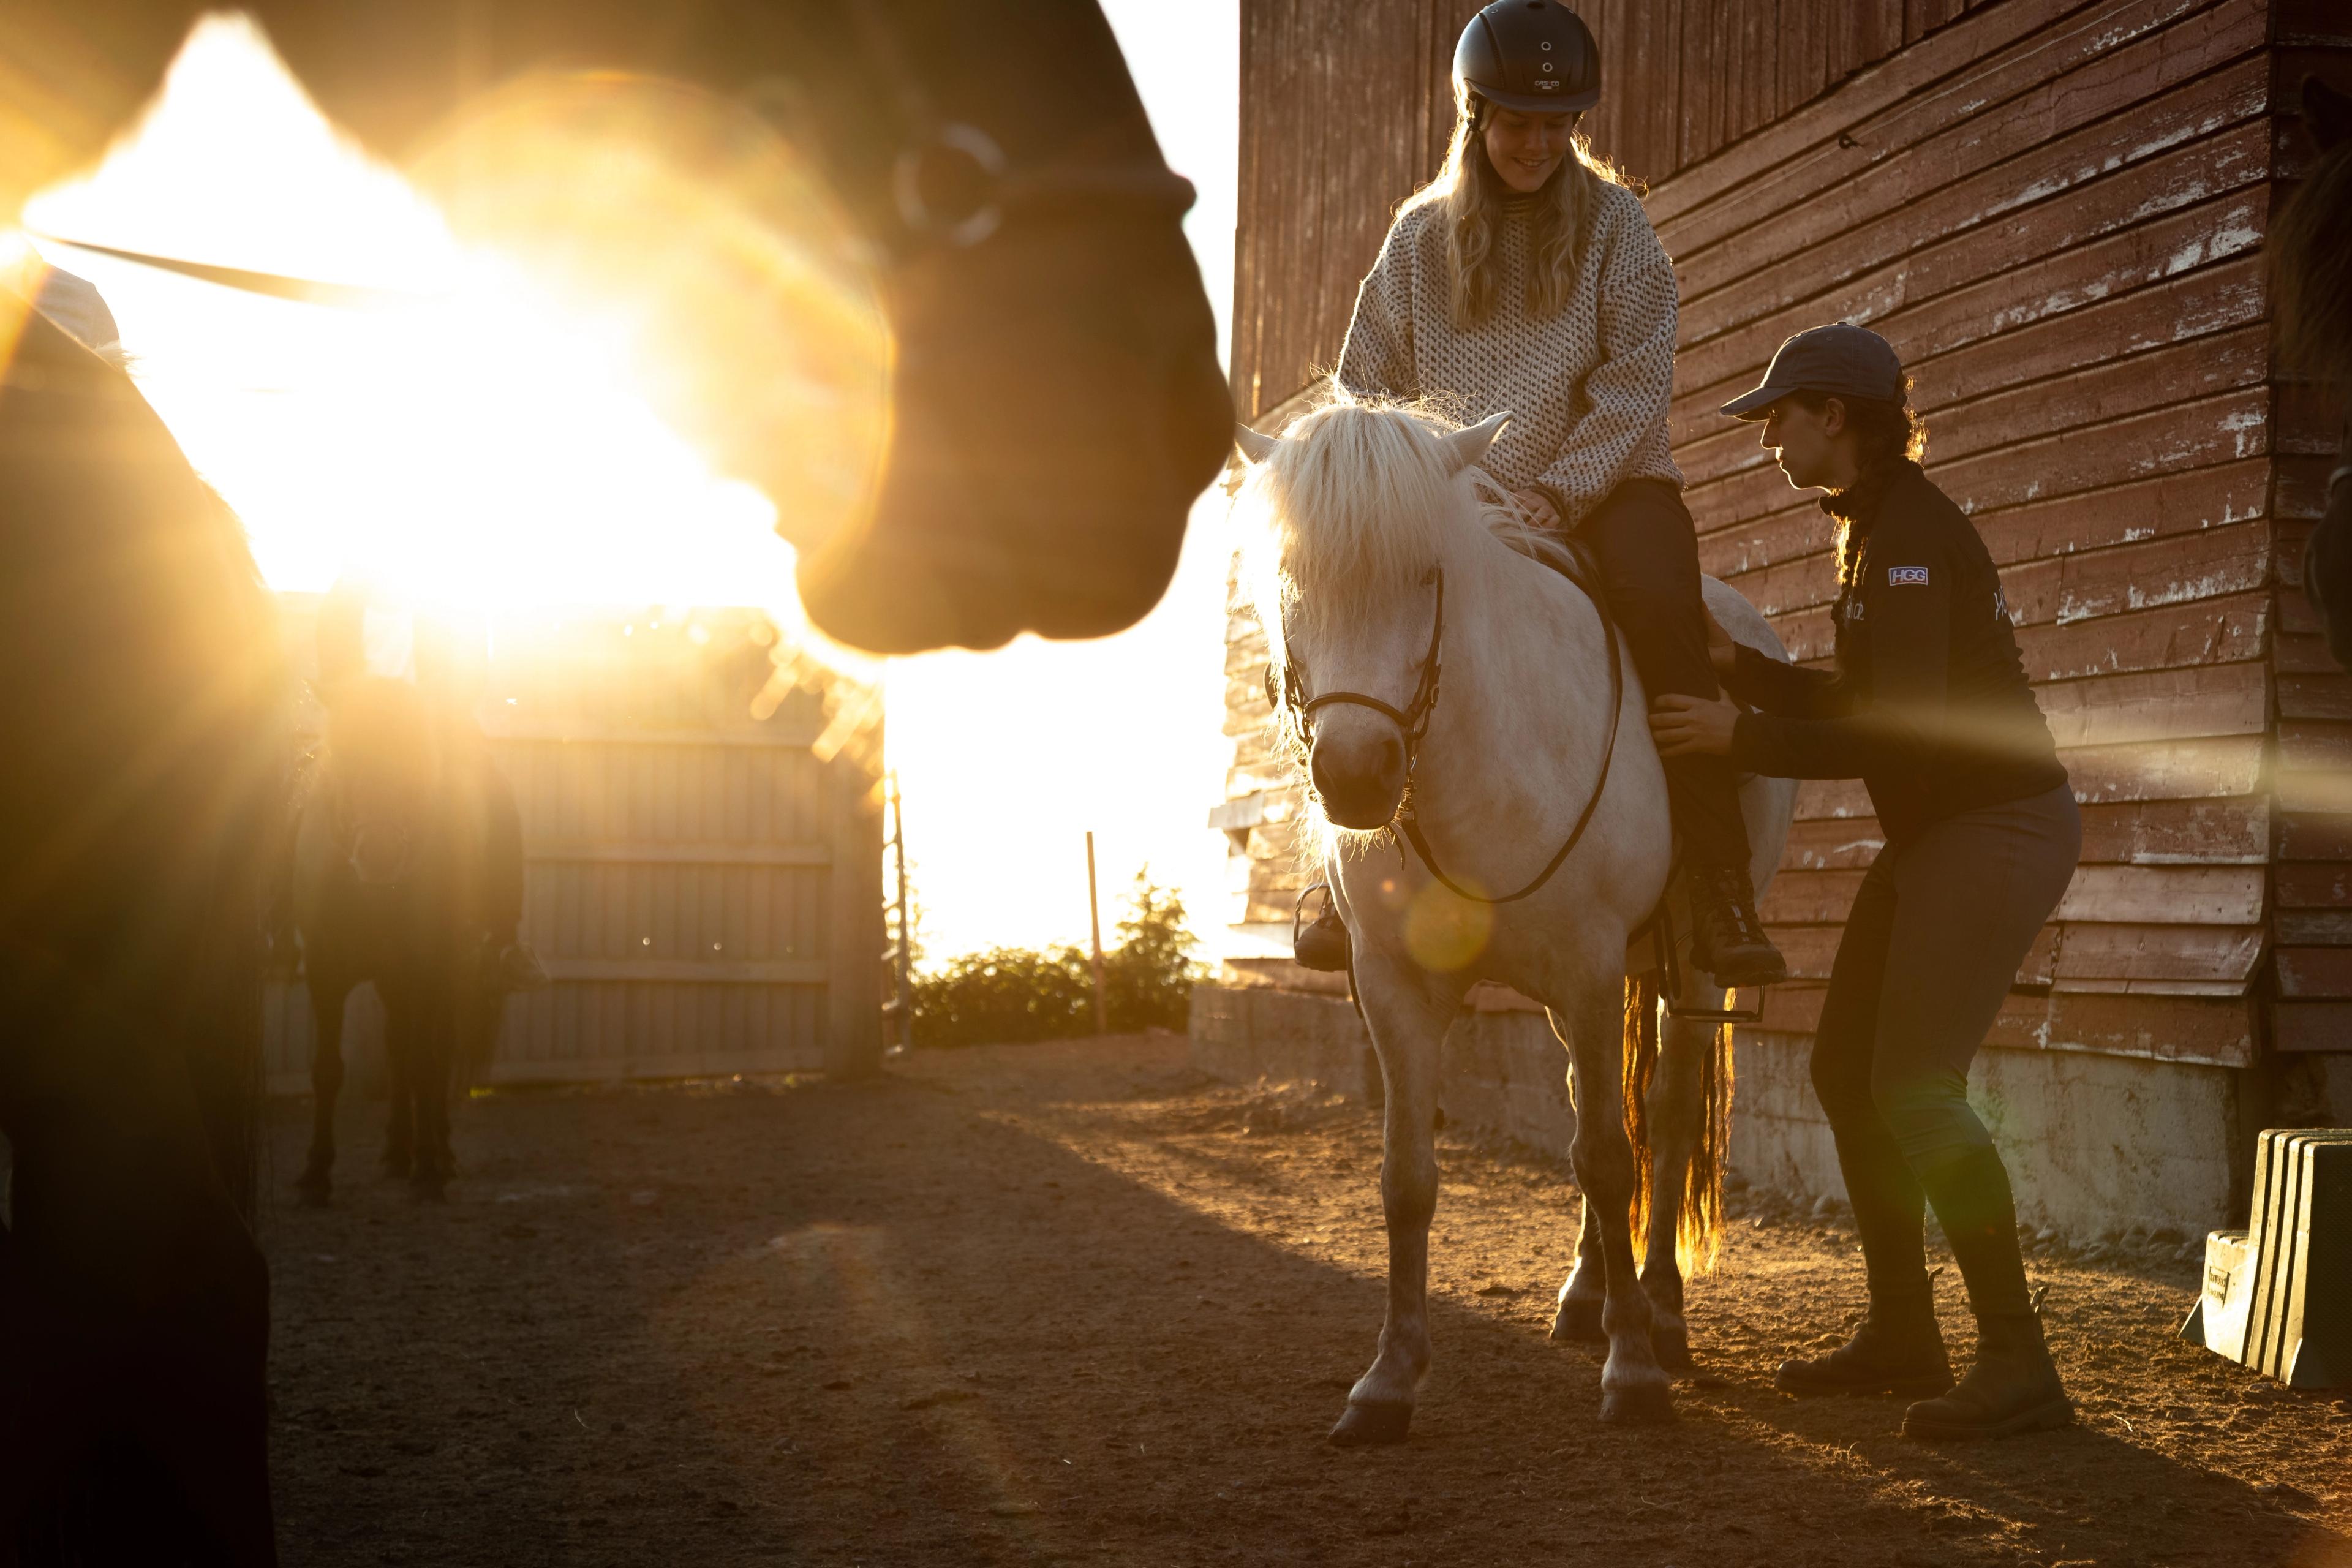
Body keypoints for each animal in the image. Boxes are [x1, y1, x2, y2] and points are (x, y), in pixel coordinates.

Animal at [291, 676, 504, 1204]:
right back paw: (396, 1150)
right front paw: (316, 1173)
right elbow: (328, 1069)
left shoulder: (428, 969)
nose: (381, 854)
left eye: (420, 757)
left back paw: (438, 1151)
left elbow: (427, 1062)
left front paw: (429, 1169)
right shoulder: (326, 974)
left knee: (434, 1050)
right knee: (399, 1048)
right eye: (344, 753)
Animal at [1233, 399, 1798, 1440]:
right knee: (1595, 1104)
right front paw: (1389, 1379)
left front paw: (1632, 1372)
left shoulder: (1589, 966)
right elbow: (1408, 1178)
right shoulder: (1398, 991)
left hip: (1691, 972)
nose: (1356, 776)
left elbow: (1612, 1160)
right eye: (1291, 582)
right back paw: (1587, 1296)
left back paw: (1659, 1313)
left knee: (1660, 1118)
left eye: (1427, 575)